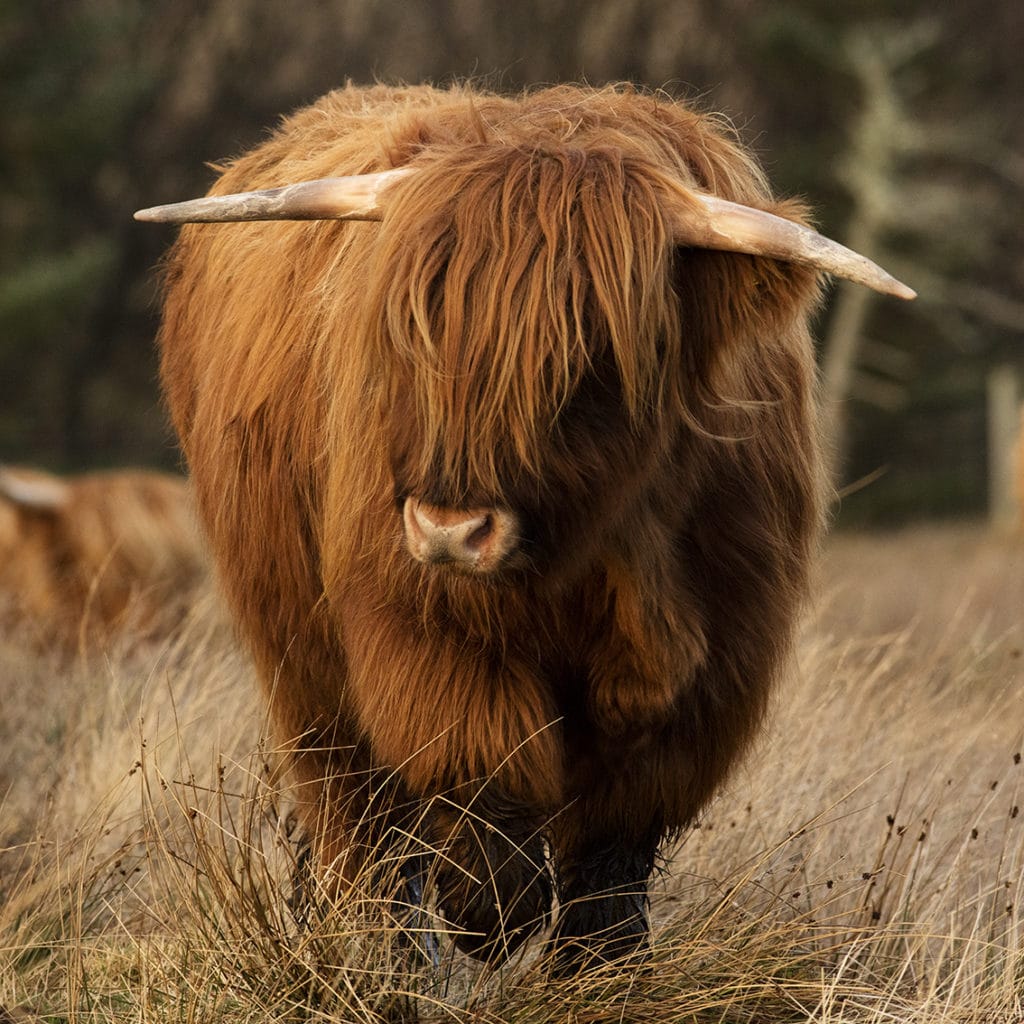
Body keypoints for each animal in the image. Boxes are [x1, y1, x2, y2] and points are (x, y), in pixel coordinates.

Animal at [140, 79, 917, 966]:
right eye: (409, 336)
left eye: (585, 359)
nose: (450, 529)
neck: (606, 544)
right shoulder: (421, 625)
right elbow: (483, 772)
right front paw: (484, 908)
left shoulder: (715, 666)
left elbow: (614, 851)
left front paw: (599, 967)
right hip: (298, 653)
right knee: (355, 818)